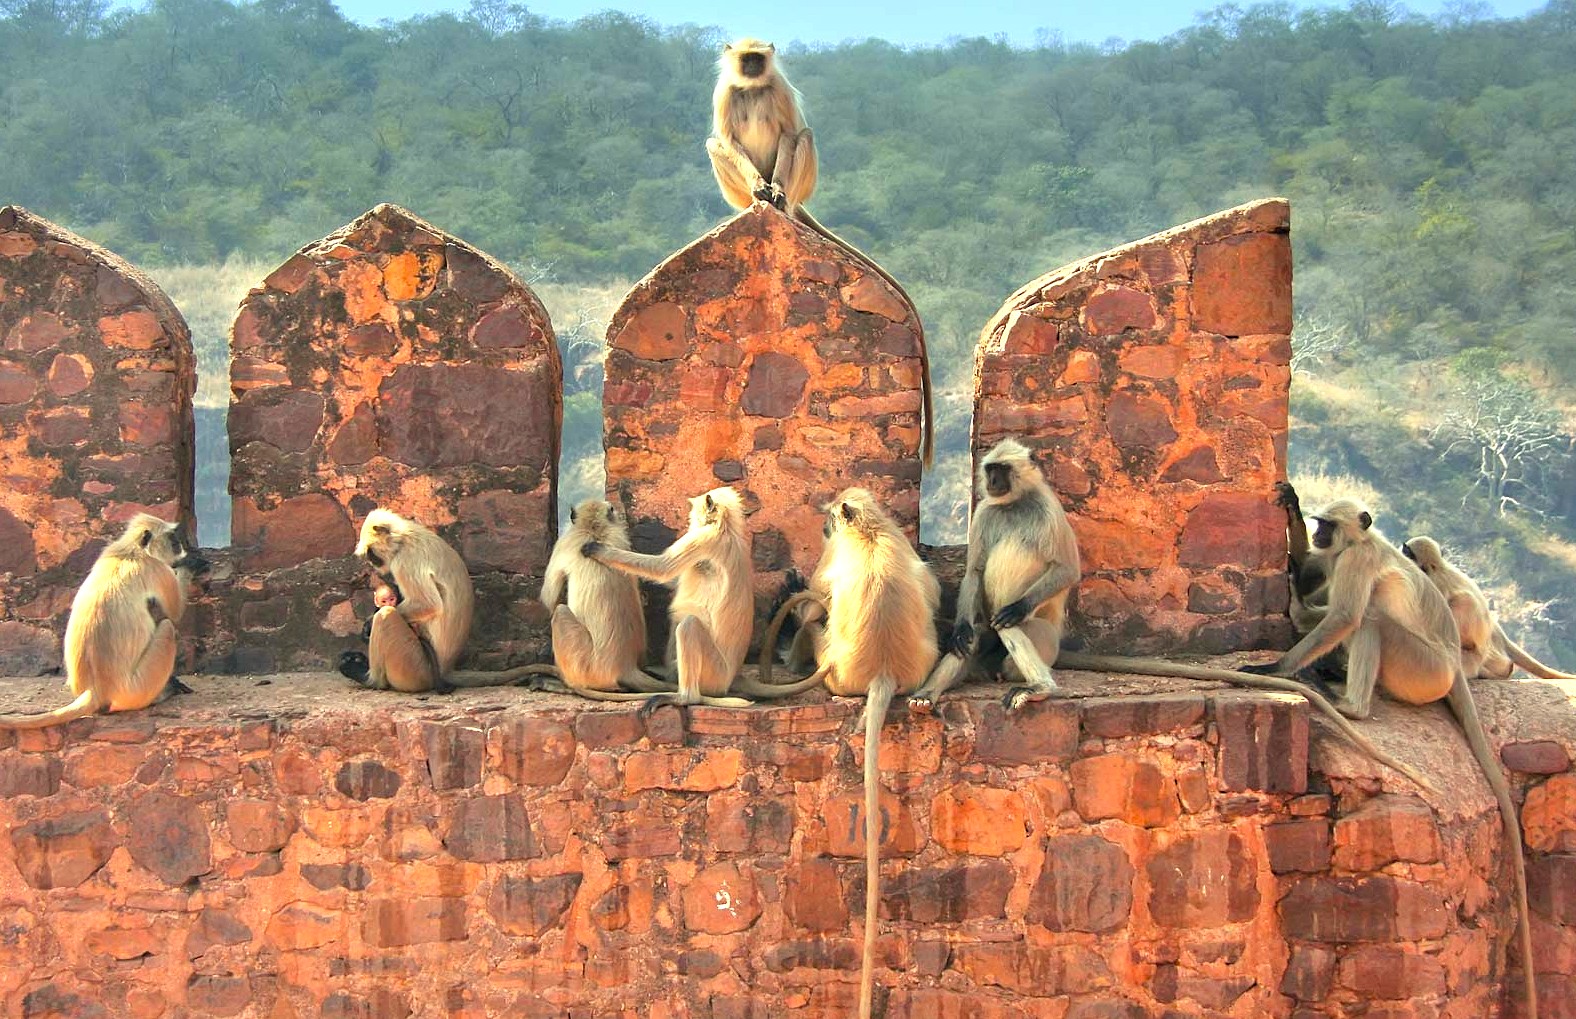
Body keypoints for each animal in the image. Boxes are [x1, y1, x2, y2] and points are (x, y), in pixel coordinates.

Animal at [1, 515, 208, 730]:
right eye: (172, 538)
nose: (179, 546)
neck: (131, 552)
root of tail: (96, 691)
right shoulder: (157, 568)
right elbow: (175, 612)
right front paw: (190, 565)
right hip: (137, 689)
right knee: (167, 627)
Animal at [708, 37, 936, 466]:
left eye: (758, 59)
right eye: (745, 59)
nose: (752, 67)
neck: (753, 88)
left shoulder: (777, 88)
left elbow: (788, 133)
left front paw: (775, 189)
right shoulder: (726, 92)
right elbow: (728, 140)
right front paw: (761, 188)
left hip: (804, 180)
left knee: (804, 135)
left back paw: (780, 201)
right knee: (715, 144)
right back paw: (756, 200)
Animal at [908, 438, 1078, 714]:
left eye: (1003, 469)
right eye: (990, 470)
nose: (993, 481)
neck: (1013, 504)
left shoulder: (1048, 508)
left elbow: (1068, 570)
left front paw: (1017, 608)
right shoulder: (985, 511)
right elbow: (974, 571)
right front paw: (960, 630)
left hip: (1045, 640)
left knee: (1007, 625)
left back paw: (1040, 688)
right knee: (974, 637)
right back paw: (925, 695)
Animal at [1238, 500, 1535, 1018]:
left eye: (1328, 524)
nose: (1317, 532)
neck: (1362, 542)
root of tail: (1455, 665)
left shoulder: (1355, 560)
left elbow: (1342, 617)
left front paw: (1275, 665)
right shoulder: (1339, 557)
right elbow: (1322, 585)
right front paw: (1292, 519)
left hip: (1420, 668)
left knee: (1369, 618)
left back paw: (1350, 703)